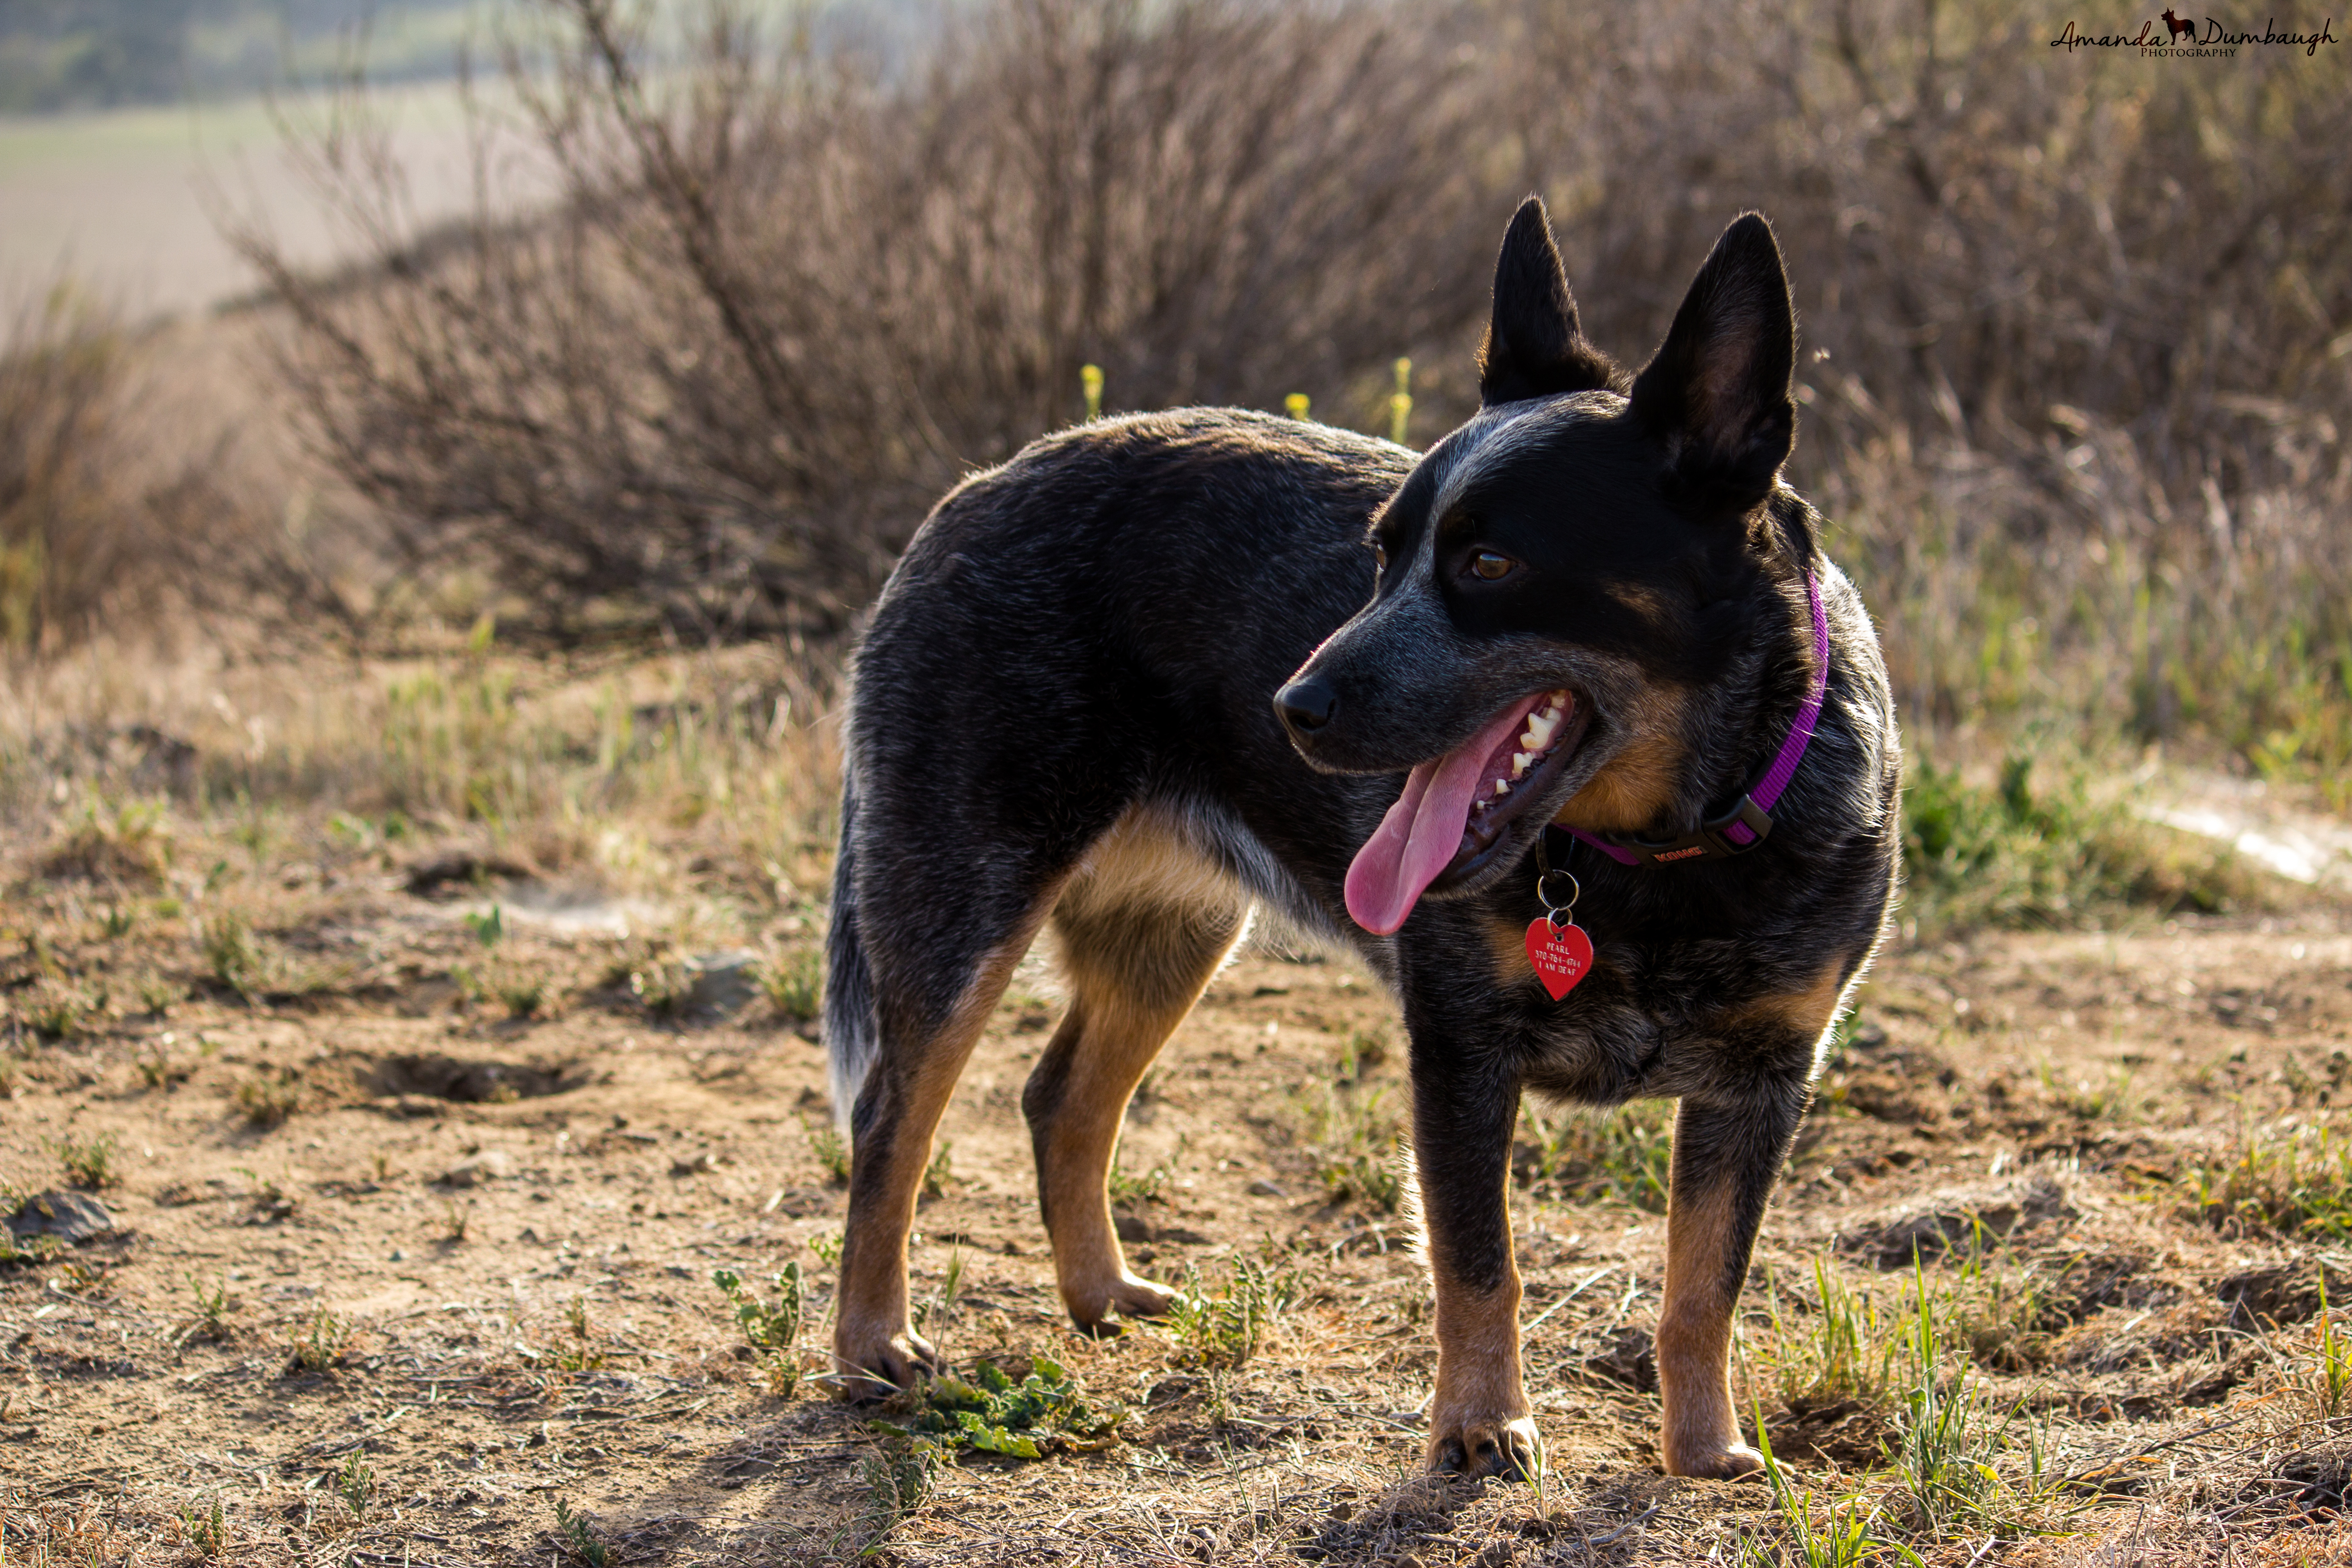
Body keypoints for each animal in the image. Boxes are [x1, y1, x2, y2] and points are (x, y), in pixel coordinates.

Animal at [823, 196, 1891, 1485]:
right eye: (1380, 555)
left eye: (1488, 561)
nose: (1294, 705)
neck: (1661, 861)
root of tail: (976, 487)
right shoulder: (1460, 1052)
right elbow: (1481, 1266)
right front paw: (1481, 1425)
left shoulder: (1764, 1079)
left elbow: (1704, 1284)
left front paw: (1705, 1450)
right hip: (960, 906)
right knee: (890, 1124)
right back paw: (872, 1344)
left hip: (1170, 936)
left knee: (1061, 1098)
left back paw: (1100, 1293)